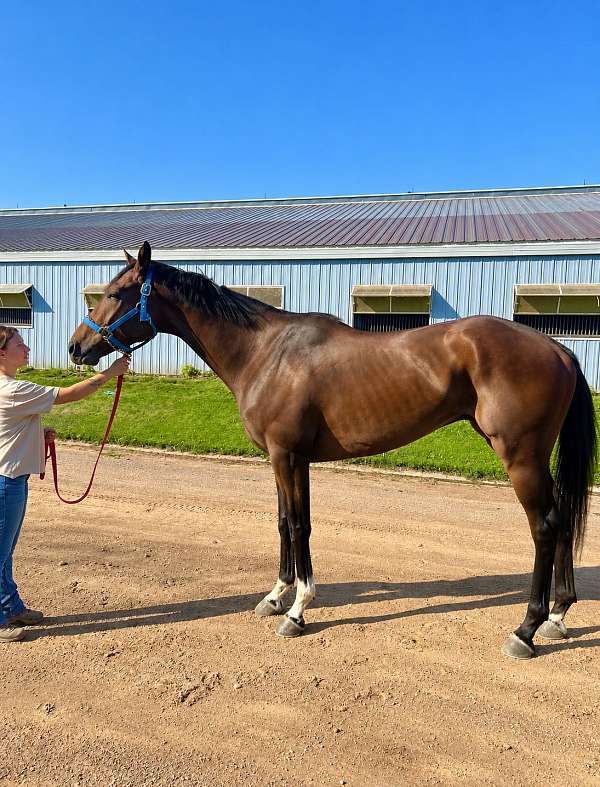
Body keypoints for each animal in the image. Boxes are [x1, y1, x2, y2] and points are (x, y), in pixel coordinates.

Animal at [68, 241, 597, 659]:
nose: (77, 347)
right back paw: (558, 615)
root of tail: (557, 347)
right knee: (561, 517)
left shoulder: (286, 455)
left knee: (545, 527)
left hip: (521, 457)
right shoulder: (286, 459)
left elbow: (300, 526)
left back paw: (526, 629)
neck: (266, 353)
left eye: (113, 294)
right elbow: (285, 522)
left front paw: (299, 609)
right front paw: (275, 596)